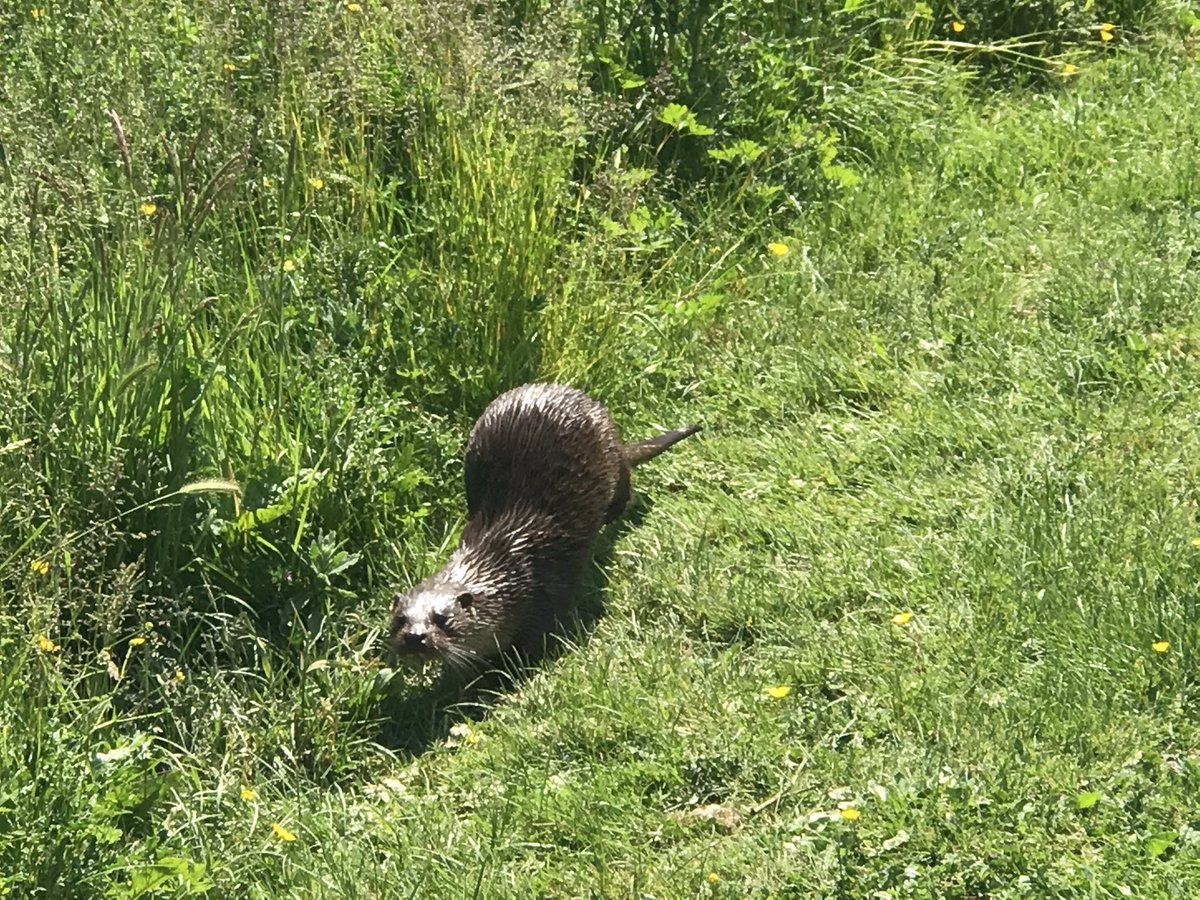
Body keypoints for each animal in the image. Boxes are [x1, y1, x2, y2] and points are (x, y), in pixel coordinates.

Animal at [389, 383, 700, 670]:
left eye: (441, 618)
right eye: (400, 619)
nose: (414, 637)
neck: (508, 570)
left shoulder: (548, 588)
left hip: (610, 453)